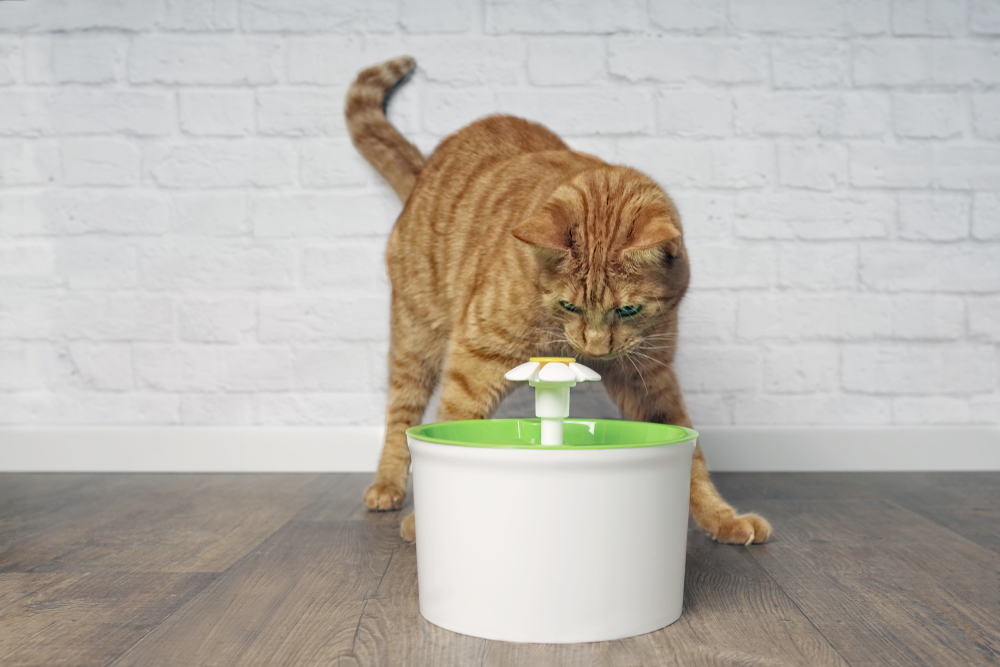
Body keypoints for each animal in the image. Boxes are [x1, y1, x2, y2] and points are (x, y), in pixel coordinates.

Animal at [346, 56, 772, 548]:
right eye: (570, 306)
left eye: (628, 310)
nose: (596, 347)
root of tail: (425, 173)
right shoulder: (473, 360)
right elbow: (452, 422)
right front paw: (428, 522)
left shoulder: (649, 376)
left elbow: (694, 463)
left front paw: (723, 519)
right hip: (416, 336)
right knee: (400, 414)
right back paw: (386, 486)